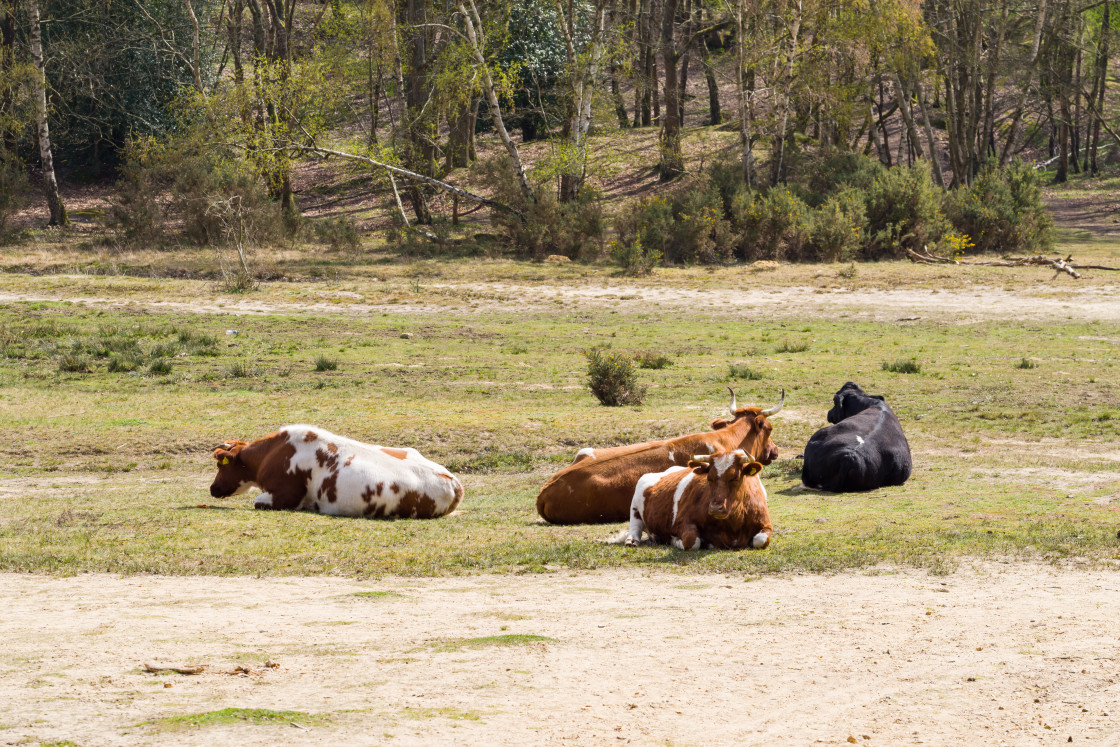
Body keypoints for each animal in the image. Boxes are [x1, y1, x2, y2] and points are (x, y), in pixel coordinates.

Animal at [613, 450, 770, 548]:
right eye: (709, 478)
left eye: (735, 478)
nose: (716, 508)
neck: (733, 525)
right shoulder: (681, 522)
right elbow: (692, 541)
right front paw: (675, 541)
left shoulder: (766, 524)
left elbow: (761, 540)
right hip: (634, 508)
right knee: (635, 528)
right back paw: (632, 540)